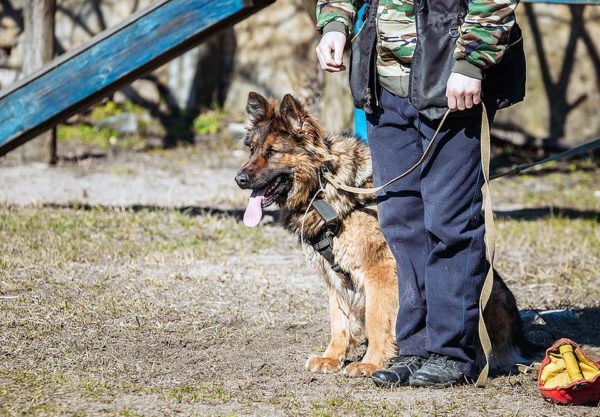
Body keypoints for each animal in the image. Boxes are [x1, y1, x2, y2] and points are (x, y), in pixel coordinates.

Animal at [234, 92, 536, 378]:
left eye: (273, 151)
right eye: (252, 149)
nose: (239, 179)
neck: (324, 187)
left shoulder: (378, 271)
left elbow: (377, 320)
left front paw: (371, 363)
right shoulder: (334, 277)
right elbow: (338, 321)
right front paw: (332, 357)